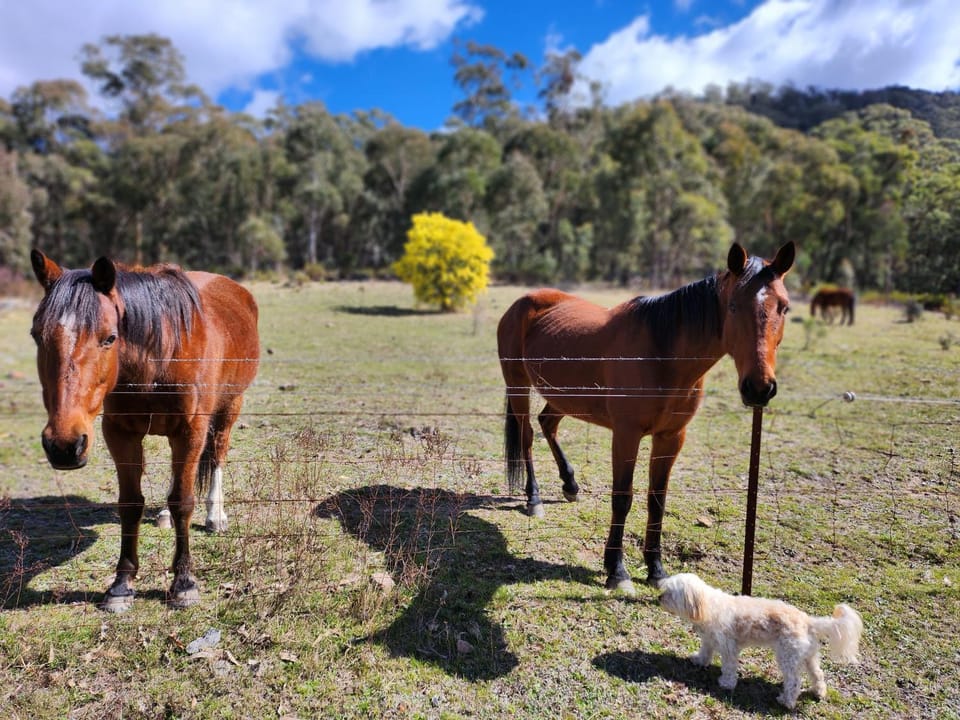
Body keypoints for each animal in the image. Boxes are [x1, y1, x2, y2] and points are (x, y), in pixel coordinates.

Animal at [30, 250, 260, 612]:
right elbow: (130, 504)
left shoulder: (191, 430)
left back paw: (215, 514)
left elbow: (183, 500)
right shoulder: (120, 434)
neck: (159, 357)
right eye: (36, 335)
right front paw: (121, 585)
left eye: (109, 338)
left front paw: (184, 583)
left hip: (230, 406)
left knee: (217, 457)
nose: (64, 446)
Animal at [497, 242, 795, 594]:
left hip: (563, 396)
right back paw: (534, 498)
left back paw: (570, 484)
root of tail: (522, 302)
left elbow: (657, 500)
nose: (759, 387)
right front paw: (617, 570)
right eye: (733, 306)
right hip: (518, 385)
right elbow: (622, 498)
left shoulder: (671, 437)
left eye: (784, 308)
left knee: (547, 425)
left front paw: (656, 569)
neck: (662, 355)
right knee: (528, 435)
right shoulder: (626, 435)